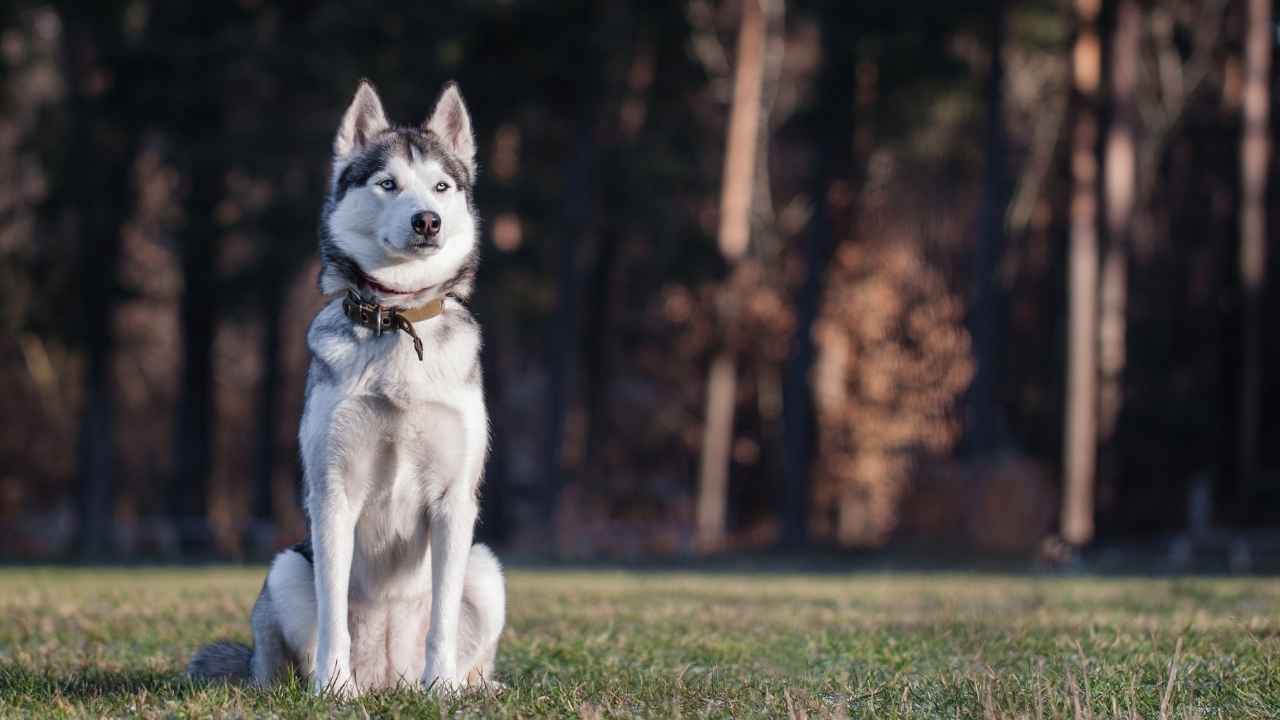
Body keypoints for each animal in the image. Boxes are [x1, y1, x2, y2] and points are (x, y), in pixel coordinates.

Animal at [188, 79, 504, 696]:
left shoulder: (455, 502)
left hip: (485, 568)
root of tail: (389, 679)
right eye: (388, 184)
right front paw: (334, 689)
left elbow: (443, 619)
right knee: (280, 657)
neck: (399, 319)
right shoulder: (333, 494)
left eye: (441, 186)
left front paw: (442, 691)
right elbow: (333, 611)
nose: (427, 220)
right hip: (286, 567)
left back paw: (464, 685)